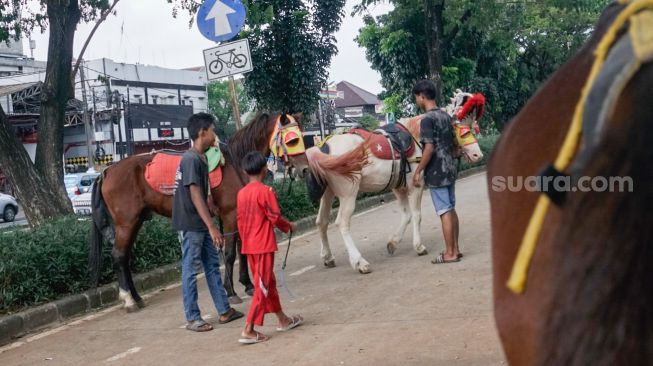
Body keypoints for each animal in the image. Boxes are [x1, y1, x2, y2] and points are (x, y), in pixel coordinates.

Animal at [290, 93, 484, 274]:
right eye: (463, 131)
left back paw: (328, 257)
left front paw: (393, 242)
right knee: (342, 223)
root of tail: (324, 148)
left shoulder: (398, 187)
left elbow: (406, 215)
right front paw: (418, 246)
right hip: (348, 193)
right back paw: (359, 262)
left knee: (321, 221)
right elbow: (416, 215)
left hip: (328, 192)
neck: (415, 136)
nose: (478, 155)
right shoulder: (415, 186)